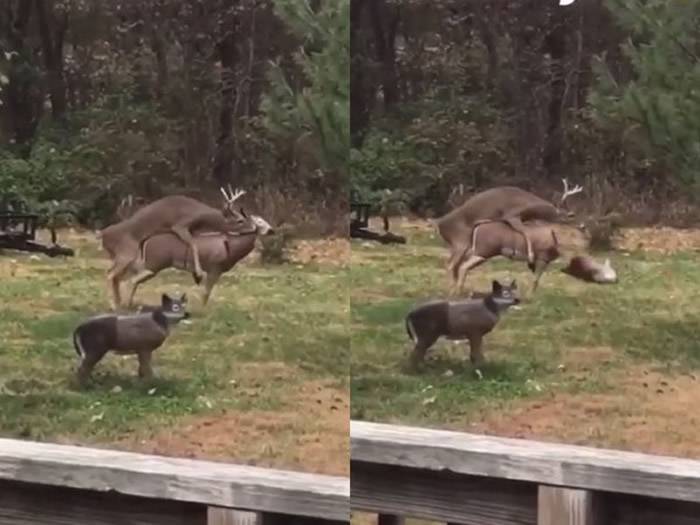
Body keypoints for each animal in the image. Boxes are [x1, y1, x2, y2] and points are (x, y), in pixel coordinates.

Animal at [99, 186, 249, 310]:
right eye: (240, 220)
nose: (252, 226)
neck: (201, 216)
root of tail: (103, 234)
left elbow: (193, 244)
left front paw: (196, 274)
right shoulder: (179, 225)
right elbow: (193, 244)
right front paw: (199, 274)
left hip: (125, 255)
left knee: (117, 276)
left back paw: (119, 302)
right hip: (126, 252)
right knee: (110, 274)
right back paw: (113, 304)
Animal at [121, 210, 274, 308]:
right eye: (259, 221)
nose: (272, 230)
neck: (231, 246)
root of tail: (145, 241)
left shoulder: (216, 271)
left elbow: (207, 292)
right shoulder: (214, 268)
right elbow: (206, 293)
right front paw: (203, 311)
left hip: (151, 265)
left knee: (133, 280)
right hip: (154, 264)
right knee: (131, 280)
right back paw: (126, 305)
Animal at [434, 177, 584, 290]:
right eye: (571, 216)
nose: (582, 225)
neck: (530, 206)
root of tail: (439, 224)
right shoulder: (511, 215)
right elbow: (526, 232)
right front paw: (530, 256)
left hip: (464, 244)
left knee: (455, 265)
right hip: (461, 241)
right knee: (451, 265)